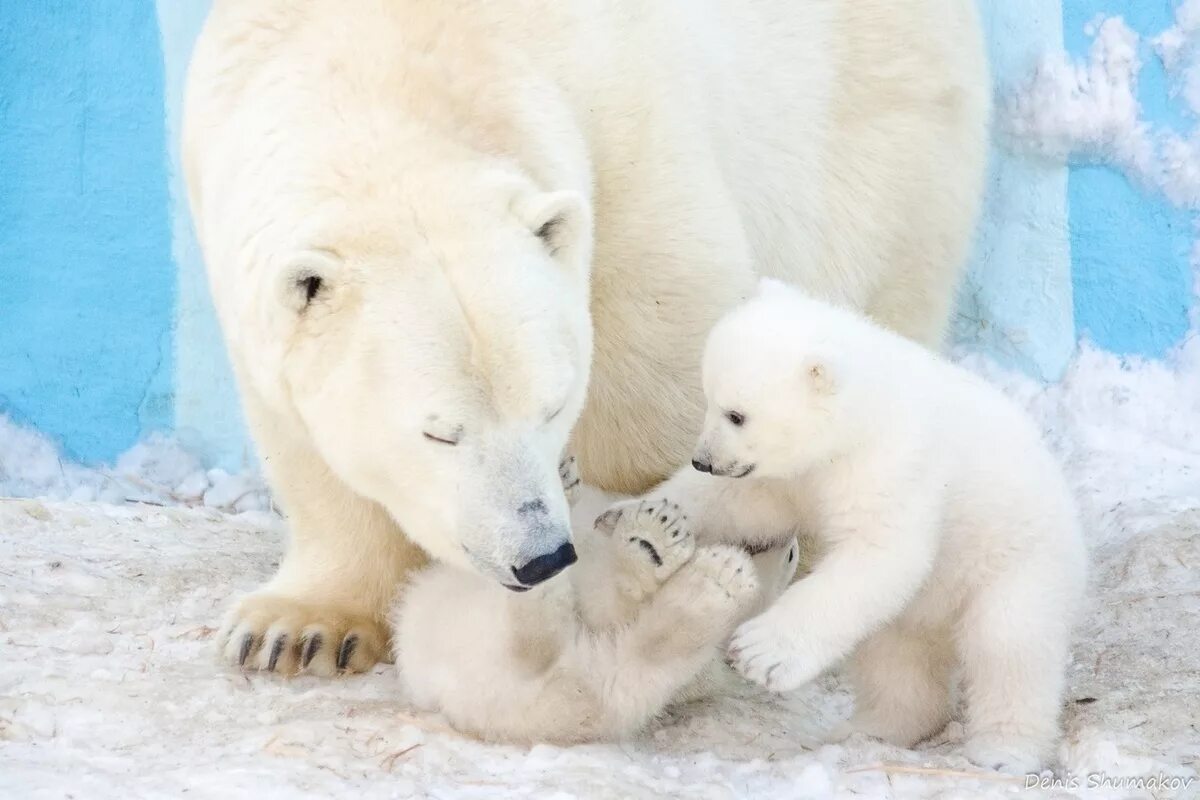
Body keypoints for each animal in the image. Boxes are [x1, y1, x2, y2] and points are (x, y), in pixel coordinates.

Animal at [182, 0, 988, 676]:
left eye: (551, 407)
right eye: (439, 432)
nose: (538, 557)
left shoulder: (621, 139)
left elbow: (657, 360)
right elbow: (304, 443)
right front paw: (295, 629)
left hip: (880, 137)